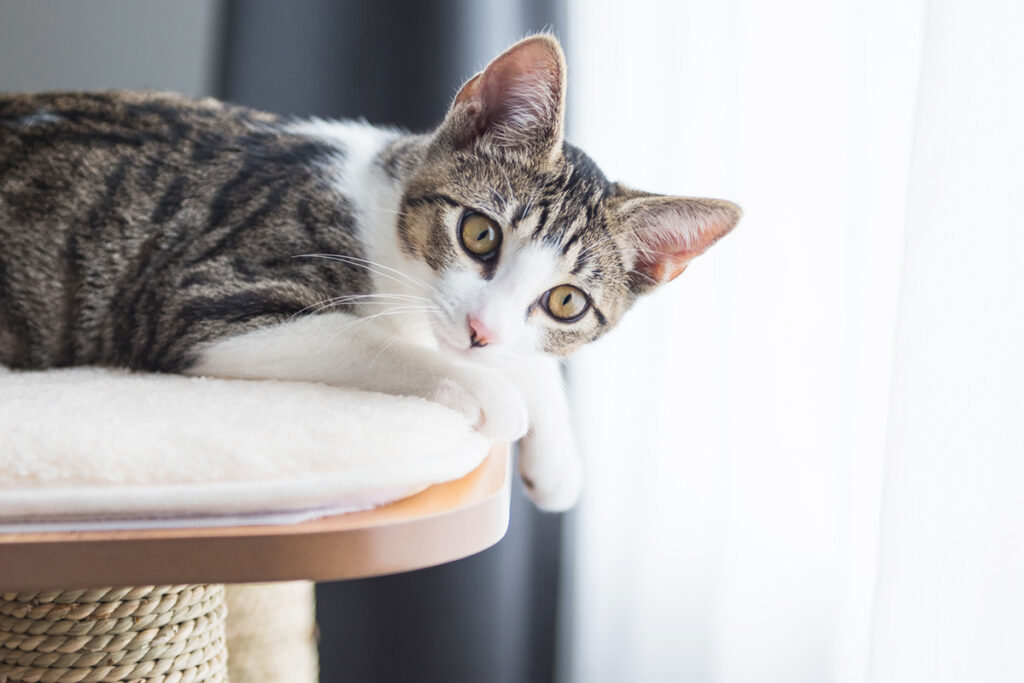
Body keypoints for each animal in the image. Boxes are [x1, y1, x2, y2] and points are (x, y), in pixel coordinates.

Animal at [0, 36, 737, 507]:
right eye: (480, 233)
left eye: (565, 302)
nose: (480, 330)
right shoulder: (197, 298)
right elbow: (366, 337)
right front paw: (496, 394)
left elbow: (526, 356)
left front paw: (556, 459)